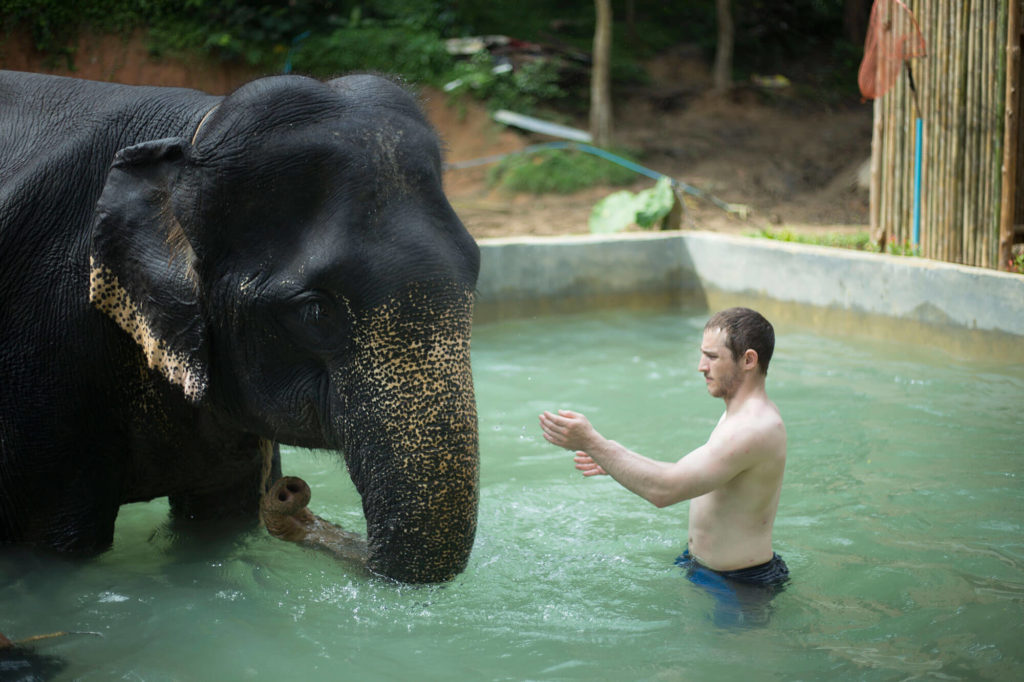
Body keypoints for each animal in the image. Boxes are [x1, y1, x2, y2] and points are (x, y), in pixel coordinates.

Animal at [0, 70, 480, 583]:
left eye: (475, 277)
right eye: (316, 312)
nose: (289, 491)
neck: (191, 133)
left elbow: (219, 520)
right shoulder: (43, 360)